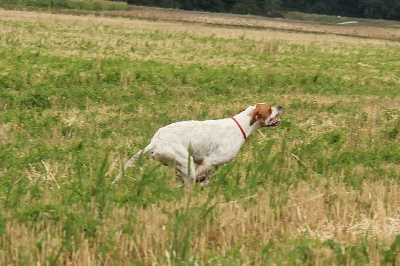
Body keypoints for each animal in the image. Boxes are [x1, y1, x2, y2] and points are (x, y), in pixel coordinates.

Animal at [111, 103, 282, 186]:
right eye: (269, 109)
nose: (280, 107)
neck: (240, 125)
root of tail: (154, 142)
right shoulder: (207, 162)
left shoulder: (206, 164)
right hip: (185, 162)